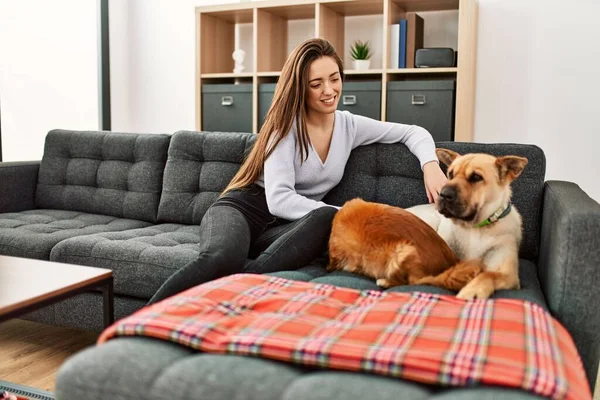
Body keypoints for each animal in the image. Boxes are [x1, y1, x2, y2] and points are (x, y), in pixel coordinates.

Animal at [408, 148, 528, 298]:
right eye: (450, 174)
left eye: (476, 177)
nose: (443, 194)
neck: (475, 228)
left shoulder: (509, 275)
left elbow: (488, 275)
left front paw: (472, 291)